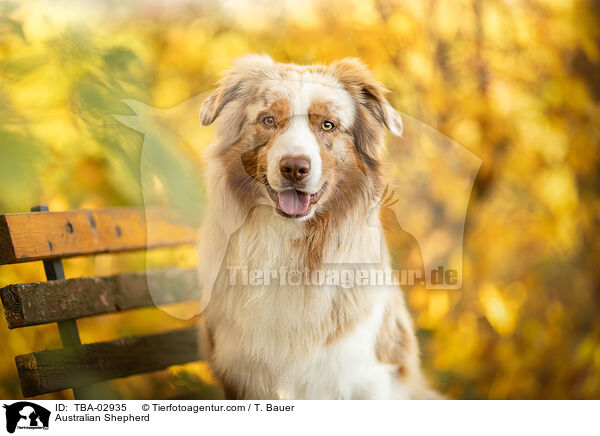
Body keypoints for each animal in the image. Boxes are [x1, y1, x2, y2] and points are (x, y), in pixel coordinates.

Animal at [199, 54, 438, 398]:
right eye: (268, 120)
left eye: (328, 125)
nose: (294, 167)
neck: (288, 245)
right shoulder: (242, 375)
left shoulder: (365, 376)